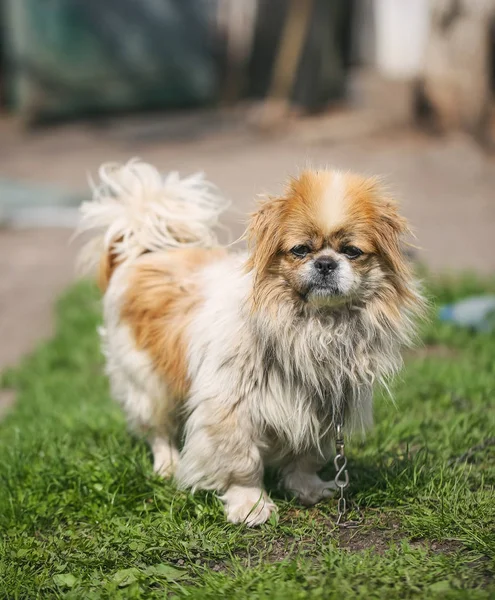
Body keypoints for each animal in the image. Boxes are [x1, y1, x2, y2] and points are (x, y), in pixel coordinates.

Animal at [78, 159, 426, 524]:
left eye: (351, 251)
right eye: (300, 250)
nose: (326, 263)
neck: (315, 326)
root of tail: (145, 251)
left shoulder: (321, 405)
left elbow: (306, 456)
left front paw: (308, 489)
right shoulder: (230, 409)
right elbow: (242, 463)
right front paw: (251, 505)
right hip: (148, 382)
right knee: (157, 429)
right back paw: (167, 465)